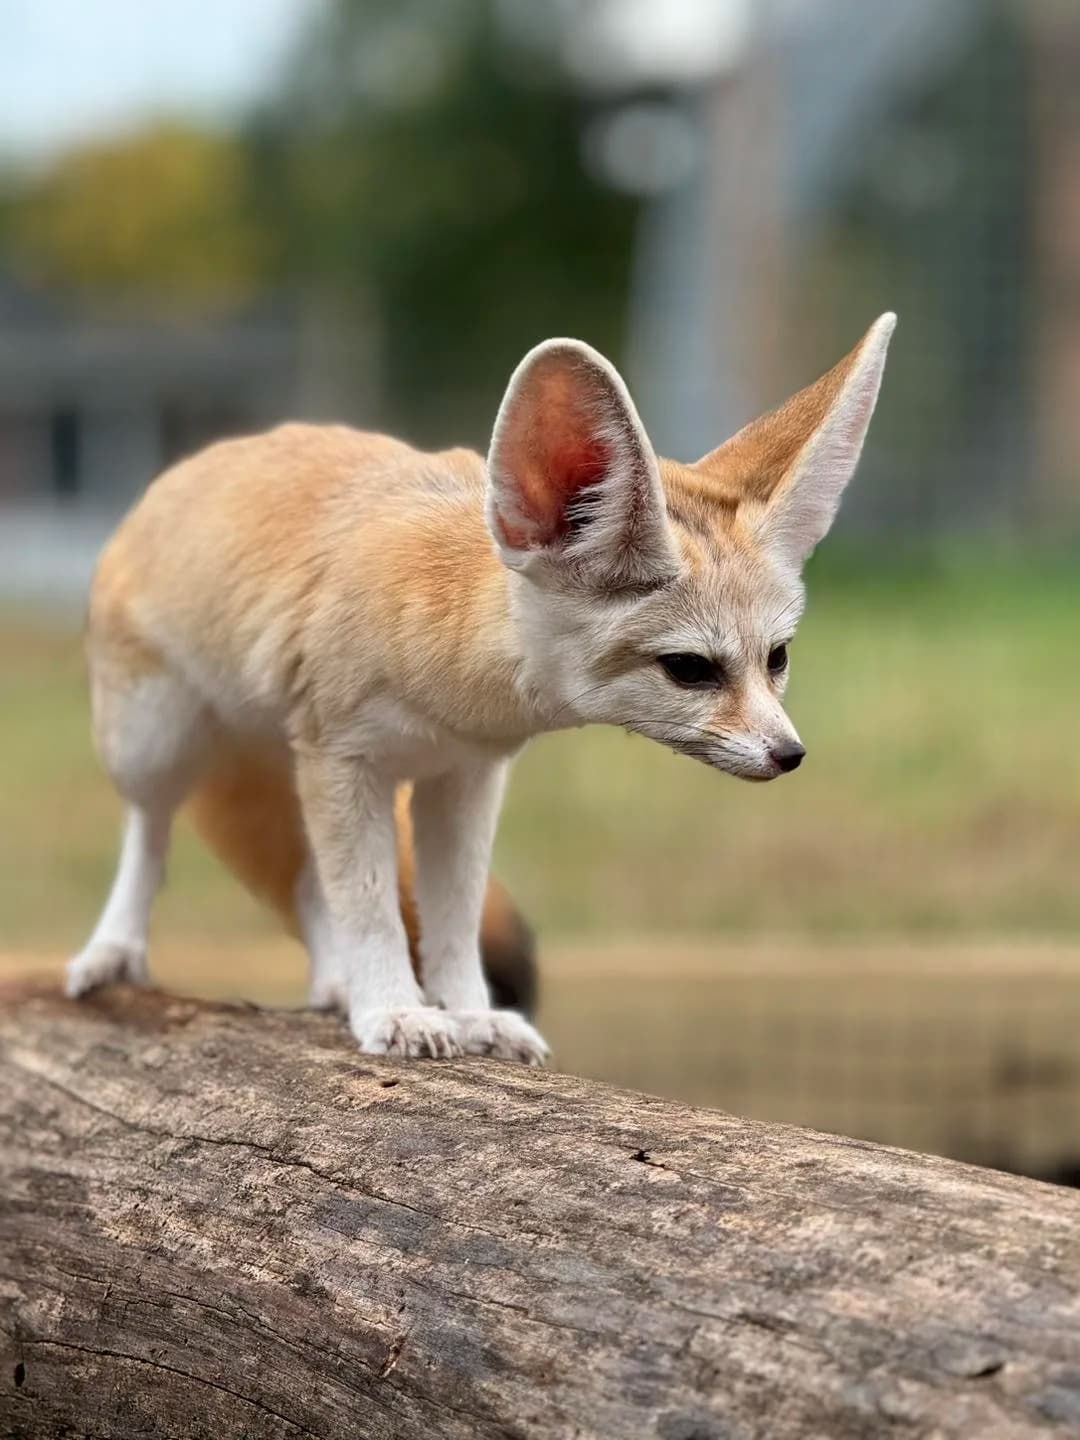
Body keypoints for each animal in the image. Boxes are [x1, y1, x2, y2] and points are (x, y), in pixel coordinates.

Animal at [68, 312, 895, 1063]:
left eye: (777, 658)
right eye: (691, 668)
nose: (790, 754)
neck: (454, 693)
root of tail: (195, 461)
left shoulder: (463, 778)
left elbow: (451, 916)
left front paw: (467, 1015)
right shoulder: (346, 764)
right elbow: (371, 906)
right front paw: (394, 1011)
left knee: (306, 884)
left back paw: (336, 984)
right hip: (157, 746)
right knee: (152, 836)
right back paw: (116, 951)